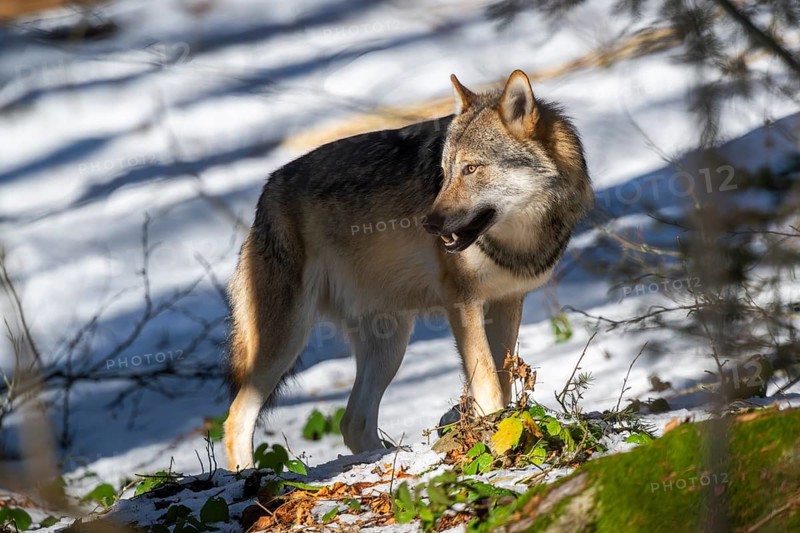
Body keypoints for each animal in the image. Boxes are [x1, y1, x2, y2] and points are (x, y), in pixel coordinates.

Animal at [223, 70, 593, 470]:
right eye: (445, 173)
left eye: (472, 168)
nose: (428, 224)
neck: (517, 242)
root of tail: (266, 194)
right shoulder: (461, 302)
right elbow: (488, 386)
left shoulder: (507, 302)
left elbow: (504, 384)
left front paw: (504, 431)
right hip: (286, 340)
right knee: (237, 417)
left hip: (390, 343)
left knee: (352, 421)